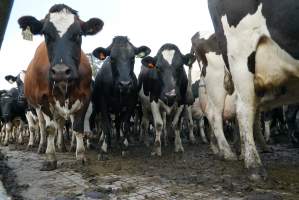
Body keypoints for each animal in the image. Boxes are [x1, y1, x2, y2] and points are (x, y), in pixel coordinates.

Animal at [17, 3, 104, 170]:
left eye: (78, 34)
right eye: (46, 34)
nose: (61, 71)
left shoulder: (85, 97)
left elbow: (77, 127)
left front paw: (80, 156)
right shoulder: (44, 100)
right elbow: (50, 129)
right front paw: (50, 158)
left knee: (61, 123)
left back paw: (62, 146)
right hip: (36, 107)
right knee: (43, 126)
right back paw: (42, 146)